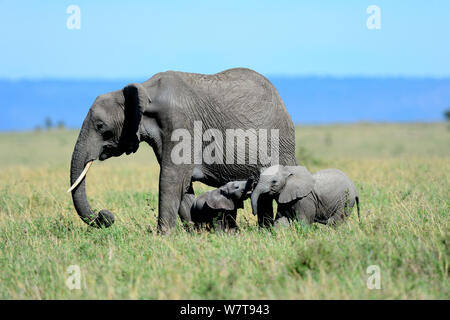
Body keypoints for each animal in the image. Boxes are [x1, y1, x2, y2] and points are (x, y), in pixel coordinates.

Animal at [68, 68, 298, 232]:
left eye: (100, 127)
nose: (106, 215)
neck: (144, 90)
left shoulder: (181, 123)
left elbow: (171, 178)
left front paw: (163, 237)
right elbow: (183, 185)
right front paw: (196, 232)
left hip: (281, 142)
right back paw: (265, 231)